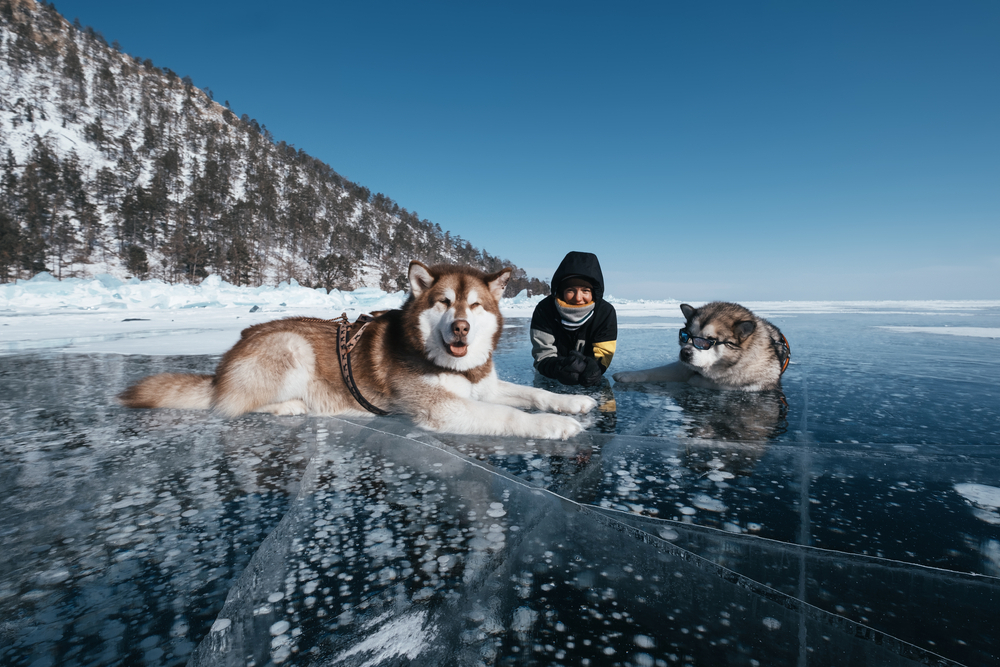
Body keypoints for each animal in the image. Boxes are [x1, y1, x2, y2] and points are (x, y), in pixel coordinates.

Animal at [121, 260, 596, 438]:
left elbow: (533, 393)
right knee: (232, 404)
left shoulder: (484, 385)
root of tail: (224, 366)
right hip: (290, 346)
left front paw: (571, 403)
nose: (460, 328)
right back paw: (290, 406)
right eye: (443, 302)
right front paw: (554, 427)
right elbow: (509, 415)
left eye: (475, 305)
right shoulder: (443, 408)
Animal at [608, 302, 788, 392]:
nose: (684, 353)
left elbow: (724, 383)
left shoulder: (762, 381)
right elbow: (655, 371)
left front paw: (697, 380)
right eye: (686, 335)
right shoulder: (683, 367)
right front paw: (627, 375)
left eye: (708, 340)